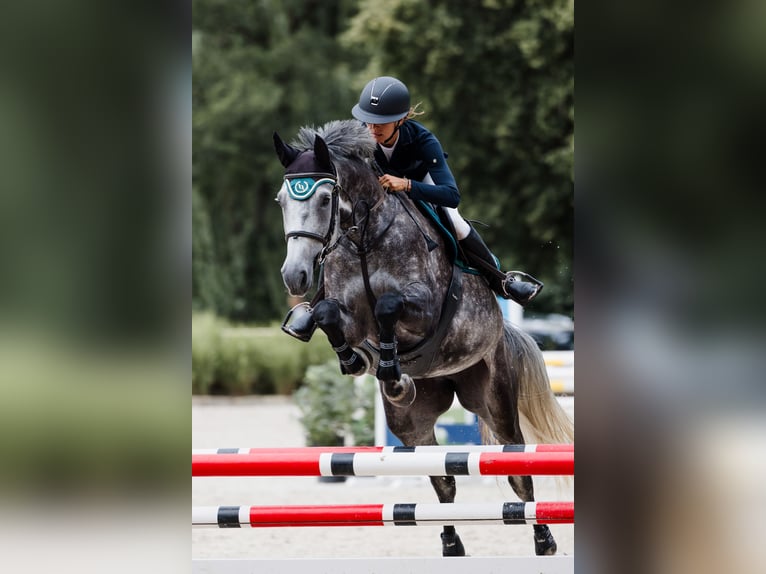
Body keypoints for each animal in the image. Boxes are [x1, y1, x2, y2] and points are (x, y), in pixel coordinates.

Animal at [273, 119, 573, 557]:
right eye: (281, 200)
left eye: (327, 198)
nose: (294, 276)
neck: (364, 238)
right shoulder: (347, 315)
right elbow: (327, 313)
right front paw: (360, 363)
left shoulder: (426, 309)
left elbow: (388, 305)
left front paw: (391, 371)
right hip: (413, 424)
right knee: (441, 477)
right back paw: (450, 543)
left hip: (493, 398)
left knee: (517, 468)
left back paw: (543, 539)